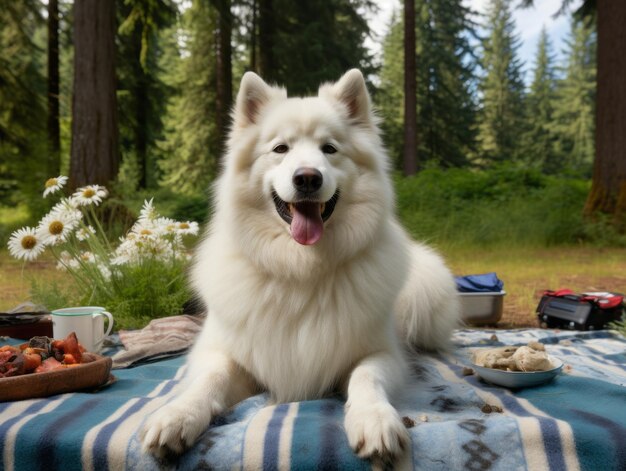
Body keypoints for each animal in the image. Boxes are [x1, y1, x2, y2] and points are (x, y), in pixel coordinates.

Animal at [141, 69, 458, 464]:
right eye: (281, 149)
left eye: (329, 149)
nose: (307, 178)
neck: (299, 269)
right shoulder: (222, 353)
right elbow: (209, 379)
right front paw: (177, 415)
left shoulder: (382, 354)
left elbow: (366, 377)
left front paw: (375, 420)